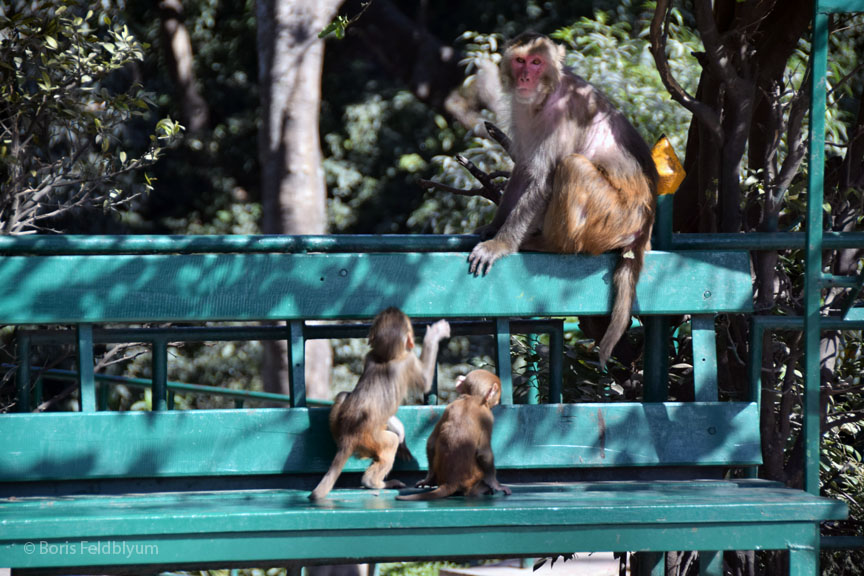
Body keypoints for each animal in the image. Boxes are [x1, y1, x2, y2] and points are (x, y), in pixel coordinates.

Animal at [308, 306, 452, 500]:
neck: (385, 358)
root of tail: (348, 437)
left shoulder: (369, 356)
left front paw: (400, 432)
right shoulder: (408, 361)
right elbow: (425, 382)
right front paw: (434, 335)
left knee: (343, 395)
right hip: (370, 439)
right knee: (390, 441)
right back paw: (374, 483)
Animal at [396, 368, 510, 500]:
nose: (495, 403)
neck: (472, 398)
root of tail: (451, 482)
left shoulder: (449, 407)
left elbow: (431, 442)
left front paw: (428, 480)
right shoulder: (487, 418)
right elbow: (484, 453)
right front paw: (496, 485)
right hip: (473, 478)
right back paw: (483, 489)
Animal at [470, 33, 660, 366]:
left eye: (536, 62)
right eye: (520, 61)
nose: (526, 77)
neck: (545, 95)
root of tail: (644, 228)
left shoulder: (562, 112)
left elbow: (544, 179)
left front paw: (500, 244)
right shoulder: (522, 110)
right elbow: (524, 169)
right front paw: (493, 227)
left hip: (615, 217)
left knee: (571, 166)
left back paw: (549, 244)